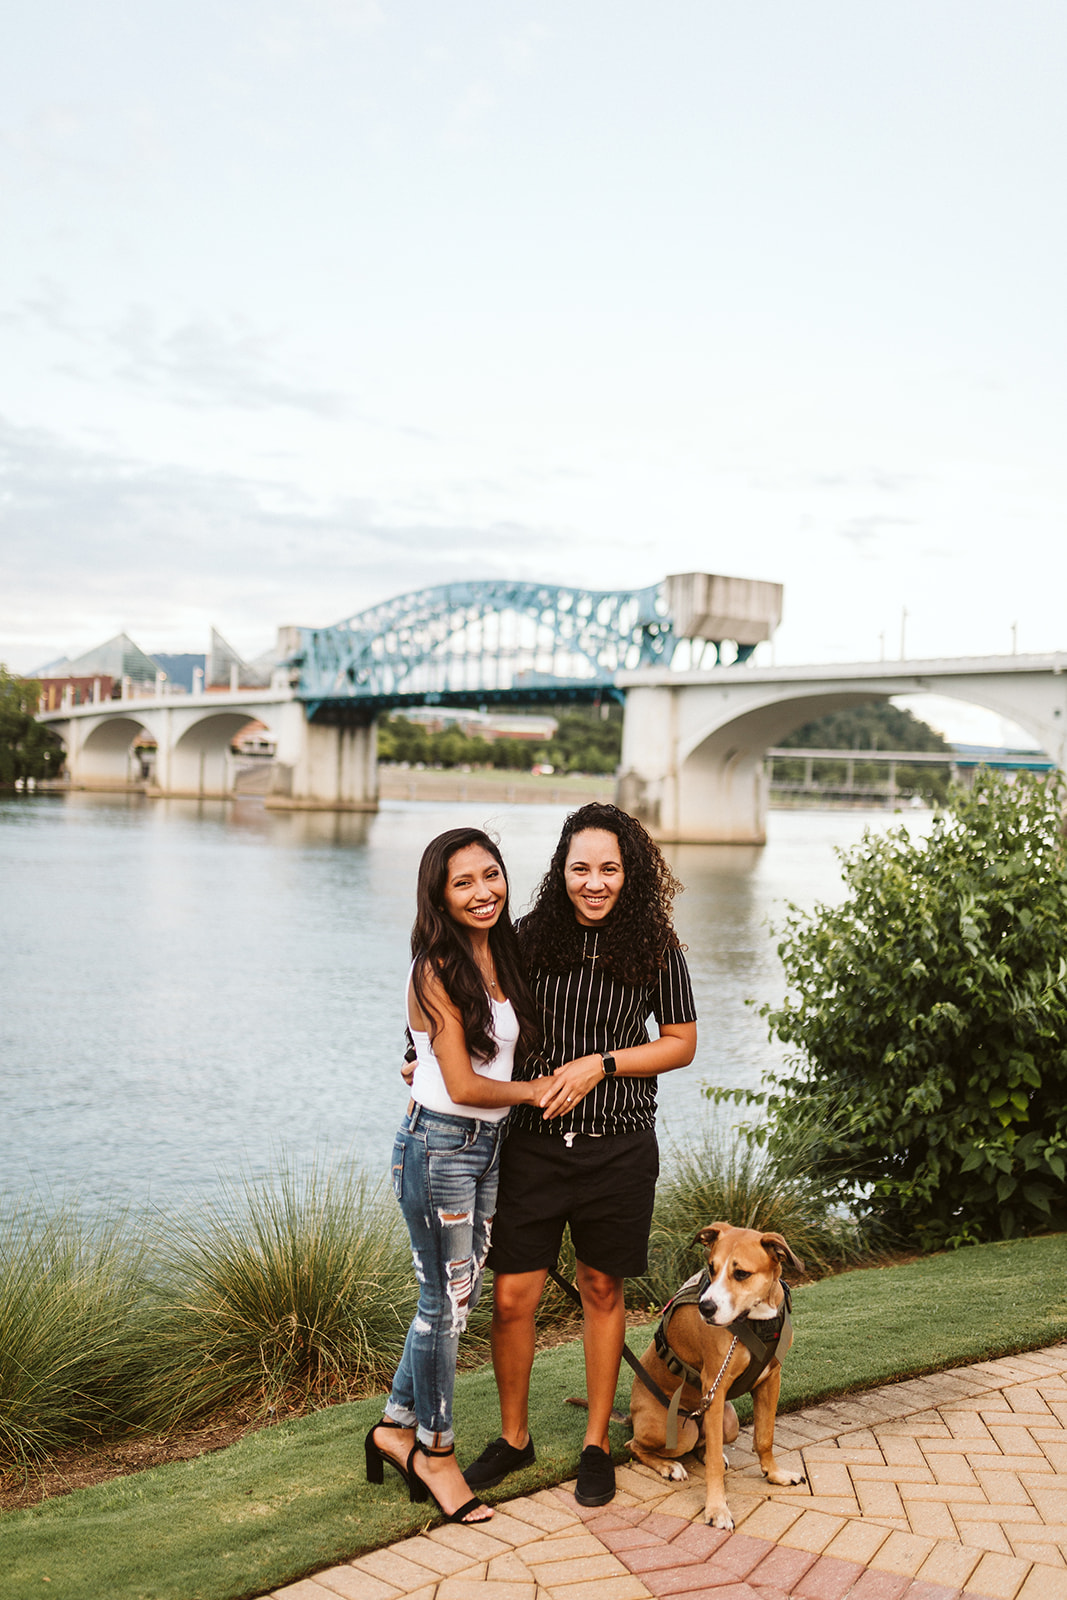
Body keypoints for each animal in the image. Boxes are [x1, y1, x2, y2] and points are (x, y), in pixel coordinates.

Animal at [630, 1222, 806, 1523]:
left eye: (741, 1273)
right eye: (711, 1267)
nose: (705, 1308)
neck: (756, 1319)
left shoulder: (771, 1380)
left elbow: (765, 1436)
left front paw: (774, 1474)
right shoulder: (715, 1386)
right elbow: (713, 1465)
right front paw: (716, 1509)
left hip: (728, 1421)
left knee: (705, 1444)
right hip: (679, 1431)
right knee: (634, 1446)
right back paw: (668, 1466)